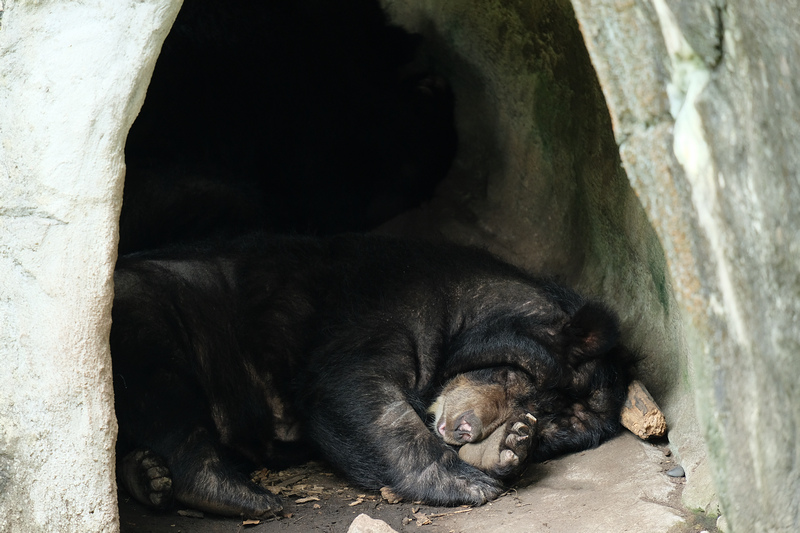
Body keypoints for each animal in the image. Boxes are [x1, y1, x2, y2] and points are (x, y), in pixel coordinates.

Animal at [112, 233, 636, 516]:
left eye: (550, 423)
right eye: (513, 376)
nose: (464, 429)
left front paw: (507, 447)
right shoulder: (379, 313)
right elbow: (353, 389)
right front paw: (470, 484)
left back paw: (149, 477)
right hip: (146, 318)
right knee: (168, 404)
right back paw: (246, 497)